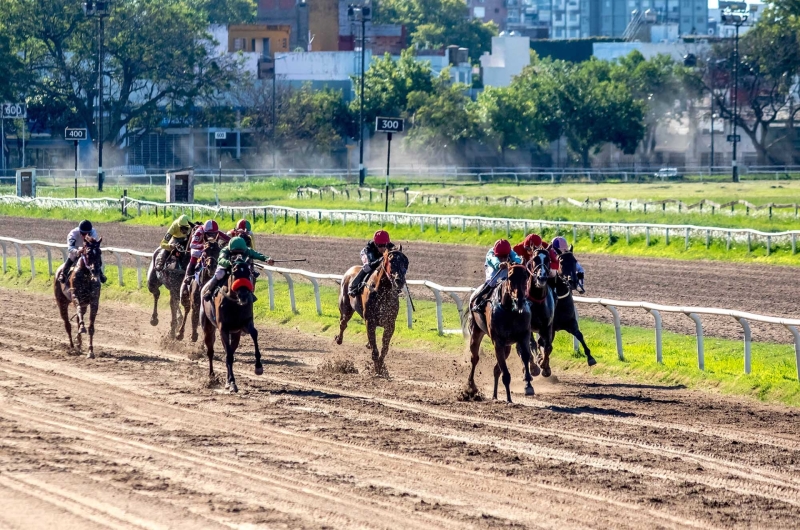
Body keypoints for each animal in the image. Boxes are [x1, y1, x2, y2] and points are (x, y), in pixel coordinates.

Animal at [200, 258, 262, 390]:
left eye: (248, 273)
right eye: (235, 272)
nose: (243, 295)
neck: (234, 302)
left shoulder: (245, 323)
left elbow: (254, 333)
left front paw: (258, 366)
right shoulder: (223, 328)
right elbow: (228, 355)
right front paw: (232, 382)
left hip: (235, 334)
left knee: (230, 350)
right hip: (207, 326)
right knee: (211, 351)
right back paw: (212, 377)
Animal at [334, 246, 410, 374]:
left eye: (406, 262)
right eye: (391, 261)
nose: (399, 281)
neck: (383, 292)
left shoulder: (390, 324)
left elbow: (384, 349)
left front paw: (381, 367)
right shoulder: (370, 321)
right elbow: (375, 351)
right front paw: (377, 369)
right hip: (346, 307)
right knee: (343, 323)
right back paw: (339, 339)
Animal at [462, 264, 536, 400]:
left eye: (526, 276)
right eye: (510, 277)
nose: (520, 300)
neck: (510, 310)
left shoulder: (523, 335)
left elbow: (525, 356)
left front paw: (528, 386)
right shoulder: (498, 341)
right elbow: (505, 372)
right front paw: (509, 398)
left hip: (507, 346)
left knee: (496, 369)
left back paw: (495, 395)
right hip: (476, 332)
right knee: (474, 358)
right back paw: (471, 387)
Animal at [524, 248, 556, 376]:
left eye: (548, 260)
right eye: (535, 259)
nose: (541, 278)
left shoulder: (547, 326)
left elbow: (548, 346)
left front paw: (545, 366)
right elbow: (528, 346)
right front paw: (533, 367)